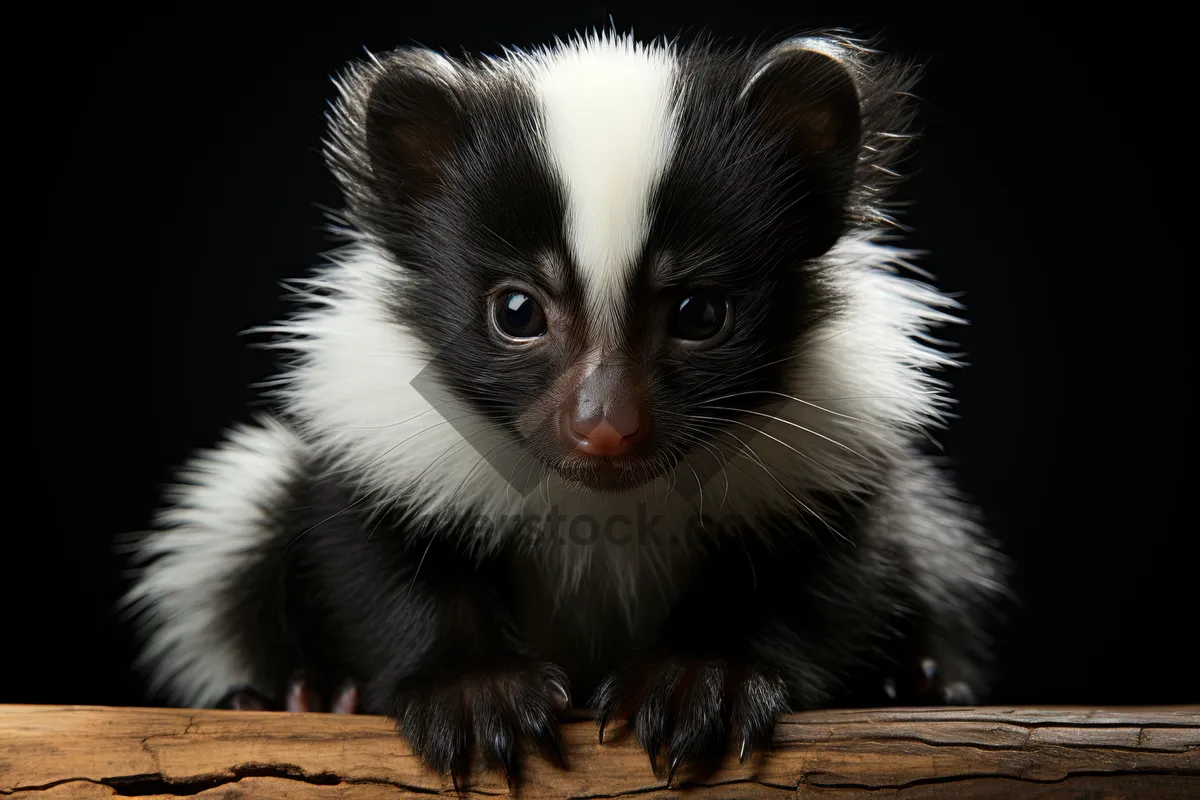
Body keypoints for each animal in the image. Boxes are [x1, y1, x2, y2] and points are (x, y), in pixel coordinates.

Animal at [119, 29, 1003, 786]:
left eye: (700, 313)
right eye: (516, 311)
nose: (605, 427)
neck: (603, 502)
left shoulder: (825, 451)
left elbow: (818, 571)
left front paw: (700, 684)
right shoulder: (377, 437)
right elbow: (377, 558)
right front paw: (475, 696)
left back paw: (913, 686)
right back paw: (302, 697)